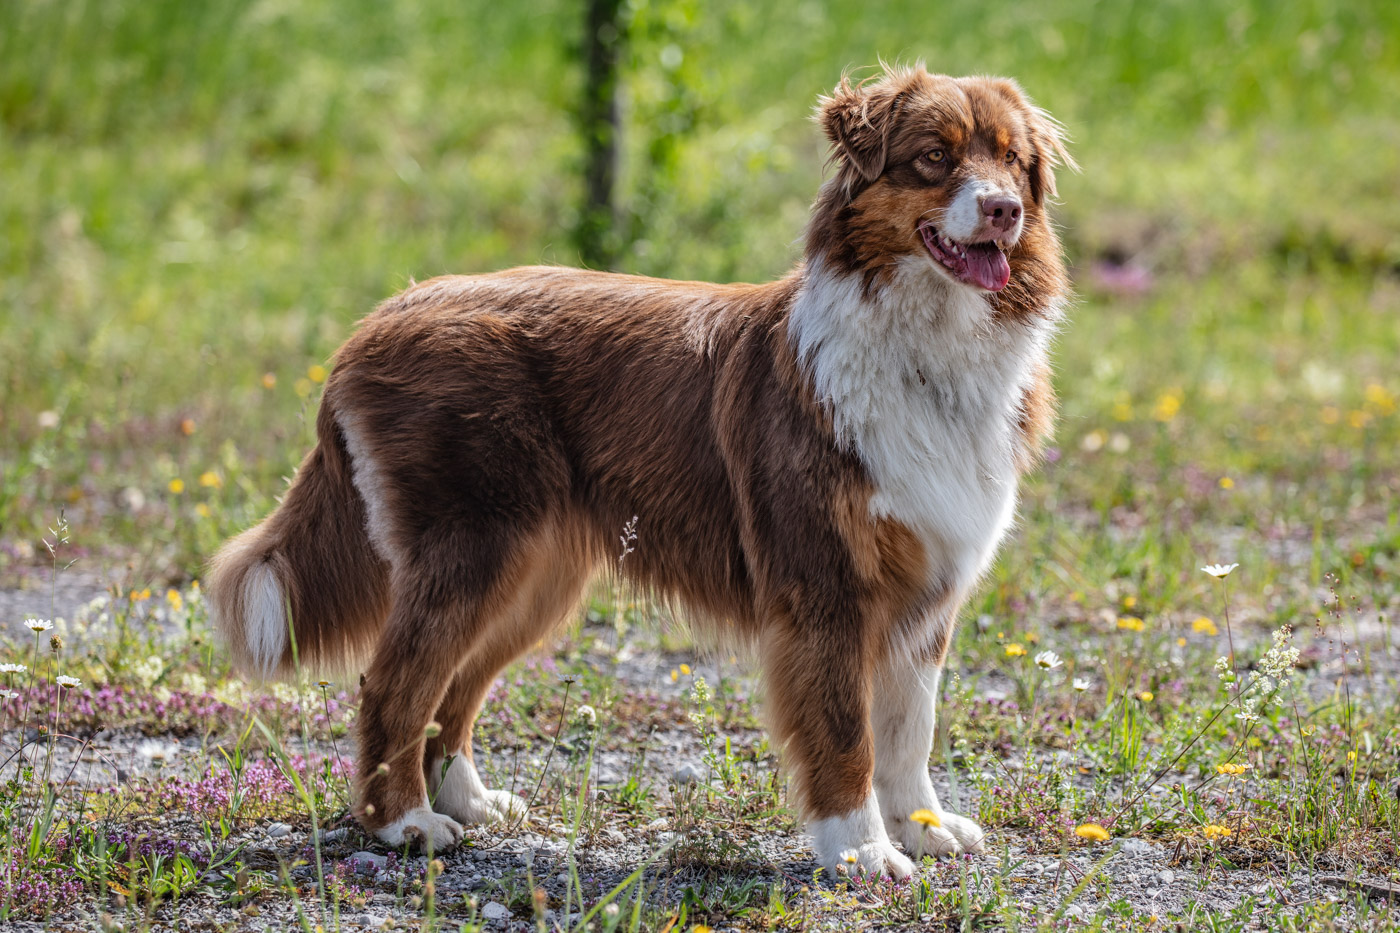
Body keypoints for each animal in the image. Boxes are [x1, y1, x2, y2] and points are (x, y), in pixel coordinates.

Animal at [210, 65, 1069, 879]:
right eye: (935, 159)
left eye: (1011, 161)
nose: (1003, 210)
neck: (928, 348)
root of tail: (375, 319)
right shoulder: (823, 586)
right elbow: (845, 733)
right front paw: (861, 853)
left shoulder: (928, 583)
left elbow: (909, 729)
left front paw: (921, 827)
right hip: (472, 549)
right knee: (394, 682)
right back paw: (404, 824)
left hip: (533, 572)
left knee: (454, 686)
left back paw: (471, 802)